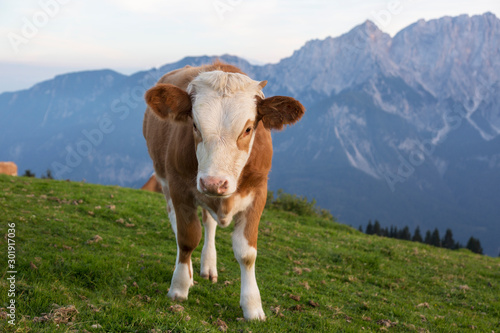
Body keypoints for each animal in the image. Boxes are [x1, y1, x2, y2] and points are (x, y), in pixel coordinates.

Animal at [142, 61, 304, 320]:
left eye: (248, 129)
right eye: (195, 125)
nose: (213, 183)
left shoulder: (259, 191)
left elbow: (247, 253)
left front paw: (252, 307)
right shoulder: (178, 186)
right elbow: (187, 239)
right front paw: (179, 288)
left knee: (209, 224)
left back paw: (208, 266)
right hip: (164, 180)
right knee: (177, 226)